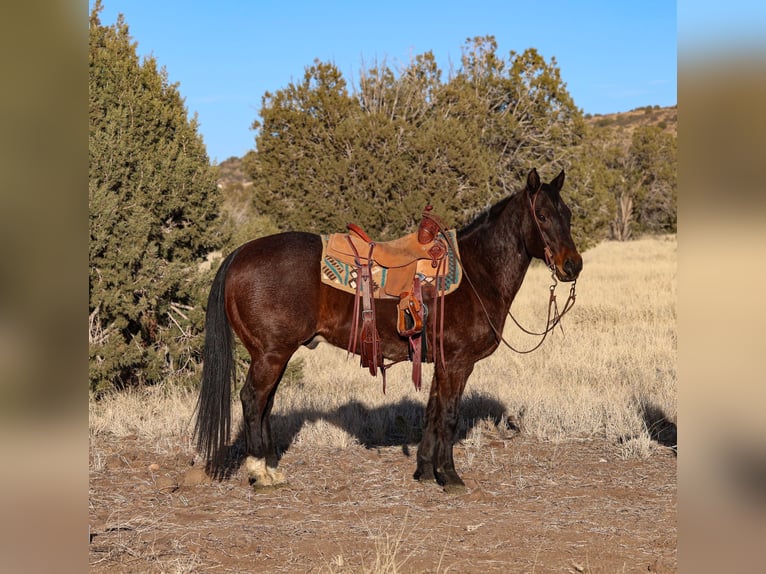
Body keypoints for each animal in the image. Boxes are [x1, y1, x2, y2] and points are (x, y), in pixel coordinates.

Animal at [195, 168, 584, 496]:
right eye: (542, 216)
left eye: (567, 215)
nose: (573, 266)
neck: (477, 272)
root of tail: (239, 253)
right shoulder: (458, 363)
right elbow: (449, 415)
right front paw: (450, 476)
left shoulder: (439, 364)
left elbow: (432, 412)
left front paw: (425, 470)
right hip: (271, 354)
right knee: (252, 400)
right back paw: (259, 473)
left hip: (275, 355)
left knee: (265, 404)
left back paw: (272, 469)